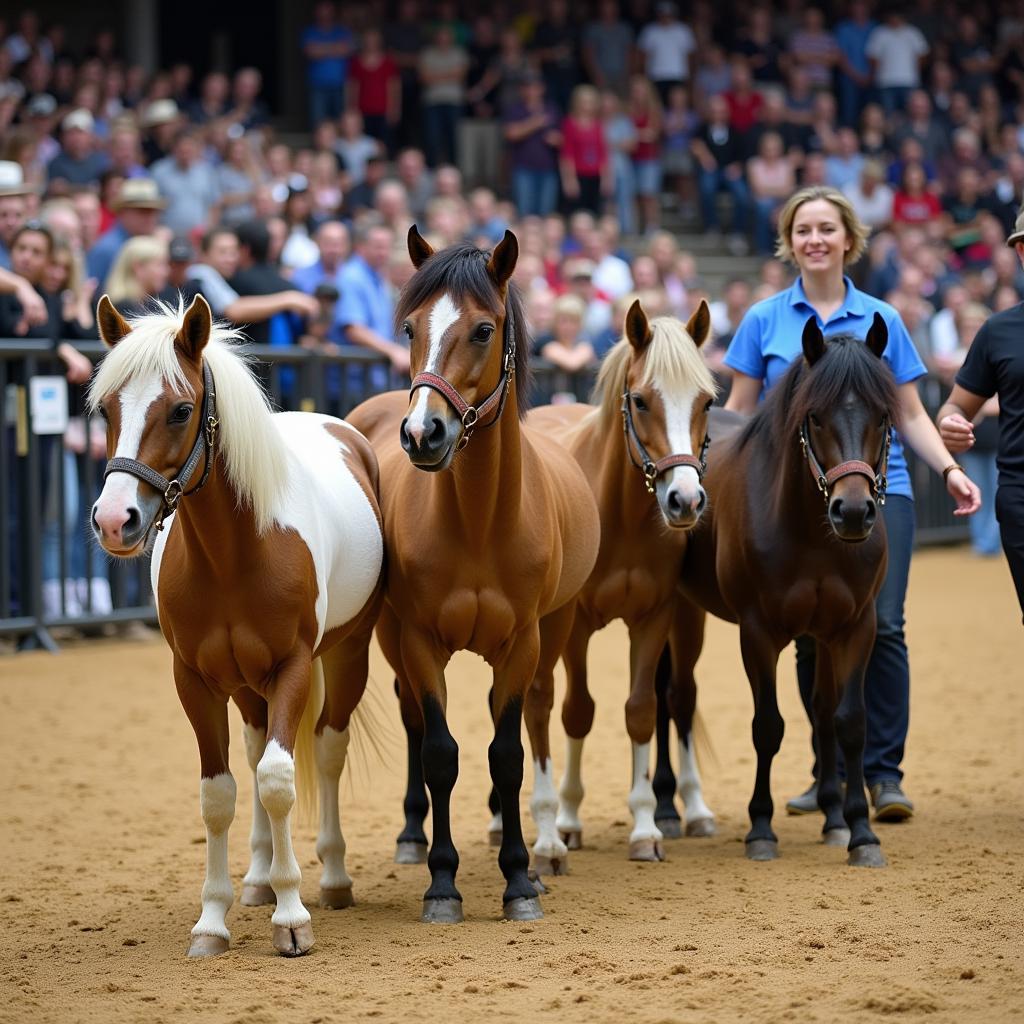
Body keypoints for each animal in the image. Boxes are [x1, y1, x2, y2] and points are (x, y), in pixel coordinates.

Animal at [87, 296, 385, 958]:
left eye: (180, 409)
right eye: (106, 409)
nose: (115, 520)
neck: (233, 555)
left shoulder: (292, 667)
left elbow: (278, 780)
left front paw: (292, 918)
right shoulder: (194, 680)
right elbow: (219, 792)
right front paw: (213, 920)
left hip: (346, 655)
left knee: (326, 751)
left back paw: (331, 878)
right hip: (247, 685)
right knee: (251, 753)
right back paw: (257, 879)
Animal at [348, 228, 598, 925]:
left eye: (484, 330)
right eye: (409, 328)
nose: (421, 433)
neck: (480, 522)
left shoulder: (522, 643)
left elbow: (507, 756)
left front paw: (518, 878)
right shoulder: (419, 642)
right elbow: (440, 753)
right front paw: (442, 883)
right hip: (388, 635)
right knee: (411, 719)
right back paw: (412, 835)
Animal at [520, 299, 720, 868]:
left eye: (707, 402)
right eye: (640, 400)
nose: (685, 501)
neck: (624, 515)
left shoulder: (655, 617)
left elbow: (641, 710)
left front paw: (646, 827)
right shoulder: (576, 626)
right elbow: (578, 712)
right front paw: (566, 821)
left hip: (689, 623)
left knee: (683, 696)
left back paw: (696, 810)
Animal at [667, 315, 892, 868]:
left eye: (882, 415)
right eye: (814, 417)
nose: (852, 512)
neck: (812, 534)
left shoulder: (850, 627)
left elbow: (841, 720)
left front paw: (853, 829)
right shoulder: (758, 632)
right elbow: (767, 726)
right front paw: (761, 829)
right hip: (675, 612)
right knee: (670, 699)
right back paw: (666, 811)